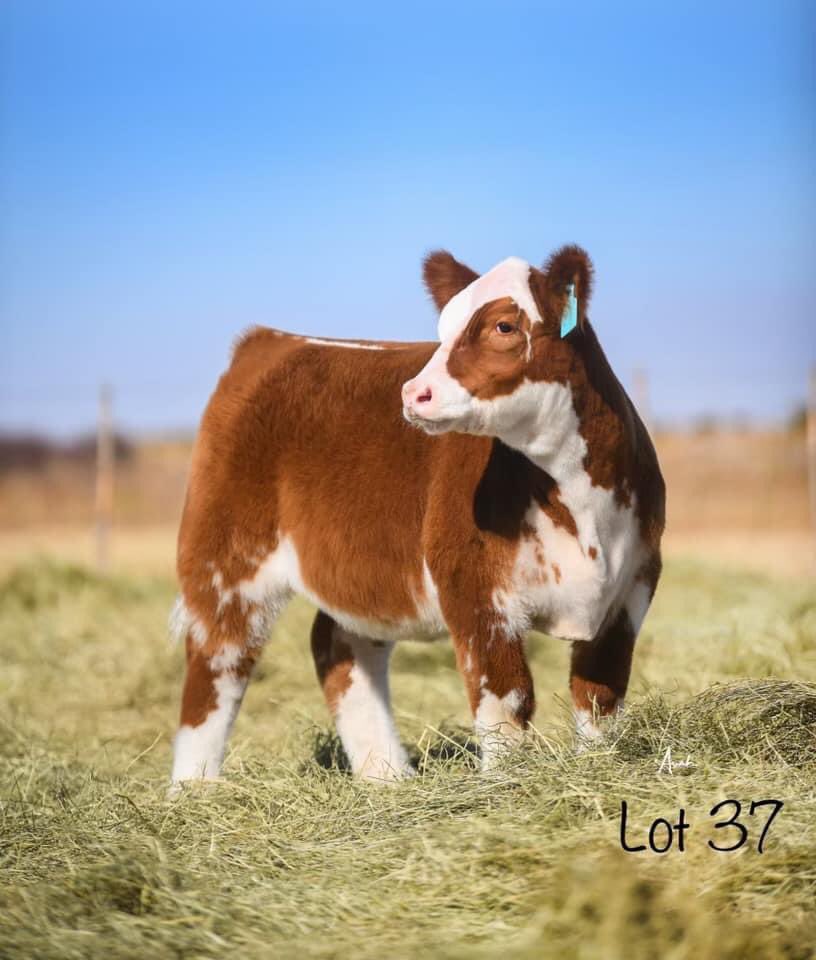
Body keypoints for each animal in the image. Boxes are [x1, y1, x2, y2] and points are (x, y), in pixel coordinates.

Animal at [170, 245, 665, 785]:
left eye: (504, 326)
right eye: (443, 328)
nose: (413, 394)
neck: (581, 506)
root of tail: (273, 339)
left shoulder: (632, 583)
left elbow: (599, 696)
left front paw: (599, 769)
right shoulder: (473, 586)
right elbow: (507, 701)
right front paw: (503, 784)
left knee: (339, 646)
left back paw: (387, 776)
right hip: (224, 555)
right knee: (219, 662)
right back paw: (194, 789)